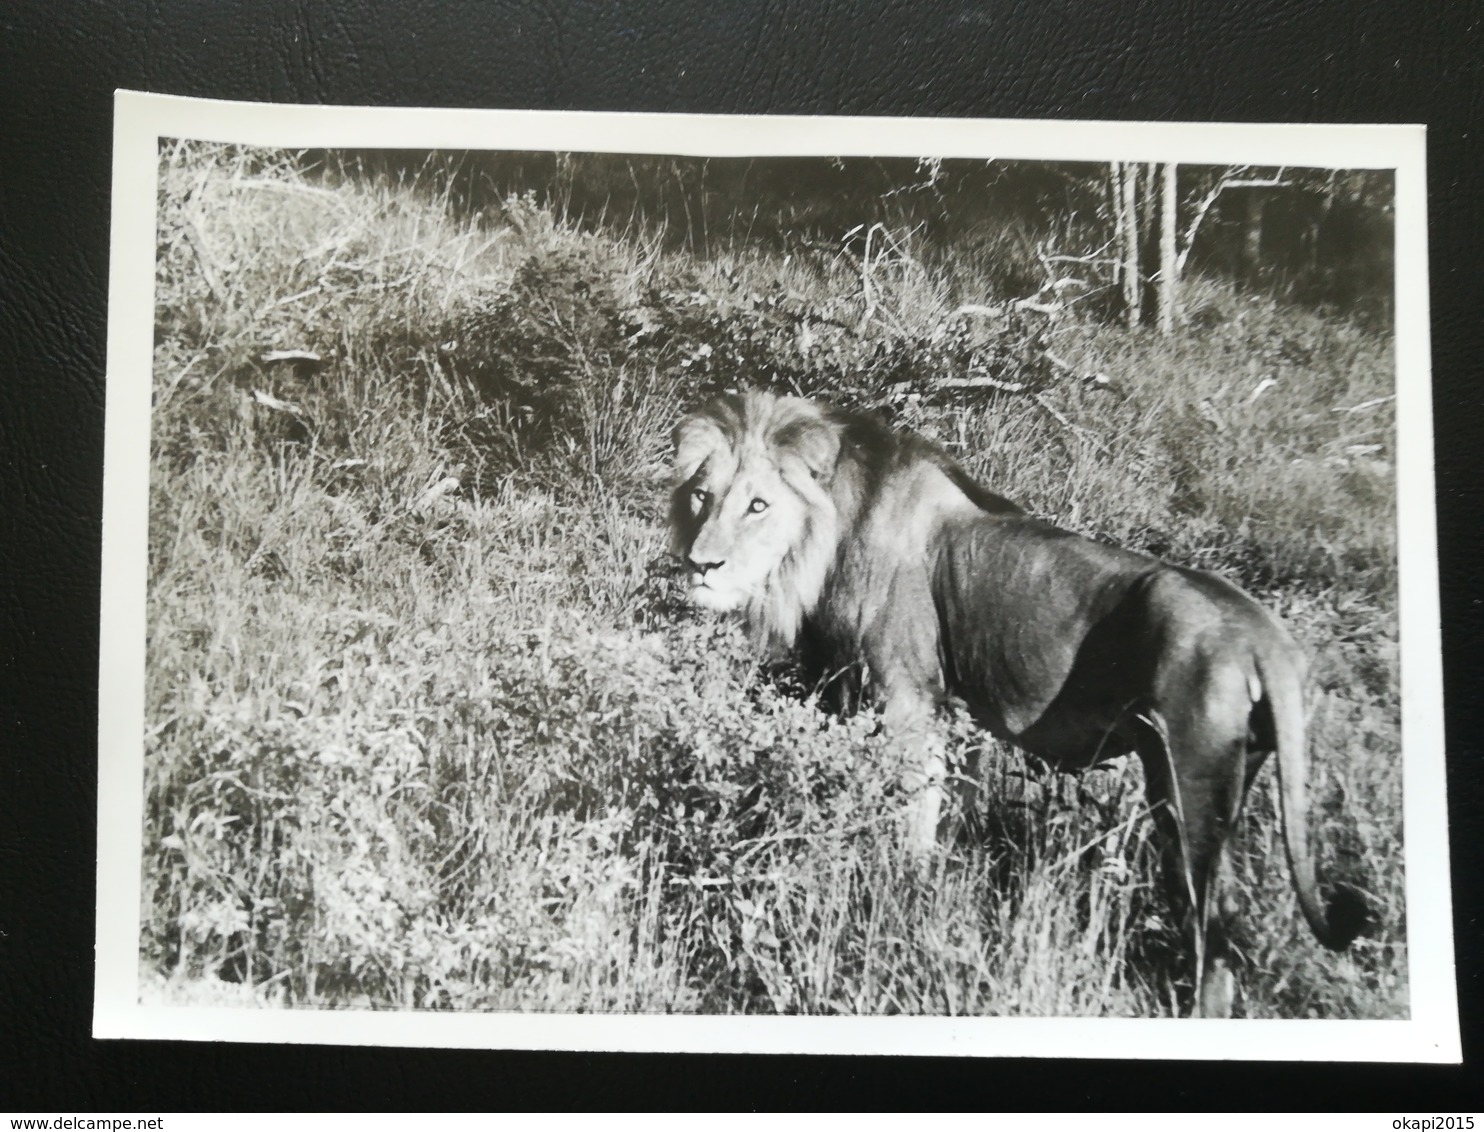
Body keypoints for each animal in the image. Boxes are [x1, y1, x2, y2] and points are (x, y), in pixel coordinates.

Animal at [673, 388, 1365, 1020]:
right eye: (701, 496)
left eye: (758, 505)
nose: (700, 565)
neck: (823, 545)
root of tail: (1265, 635)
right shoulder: (936, 710)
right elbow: (935, 809)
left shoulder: (908, 702)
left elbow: (913, 822)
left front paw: (904, 897)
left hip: (1188, 789)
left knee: (1215, 927)